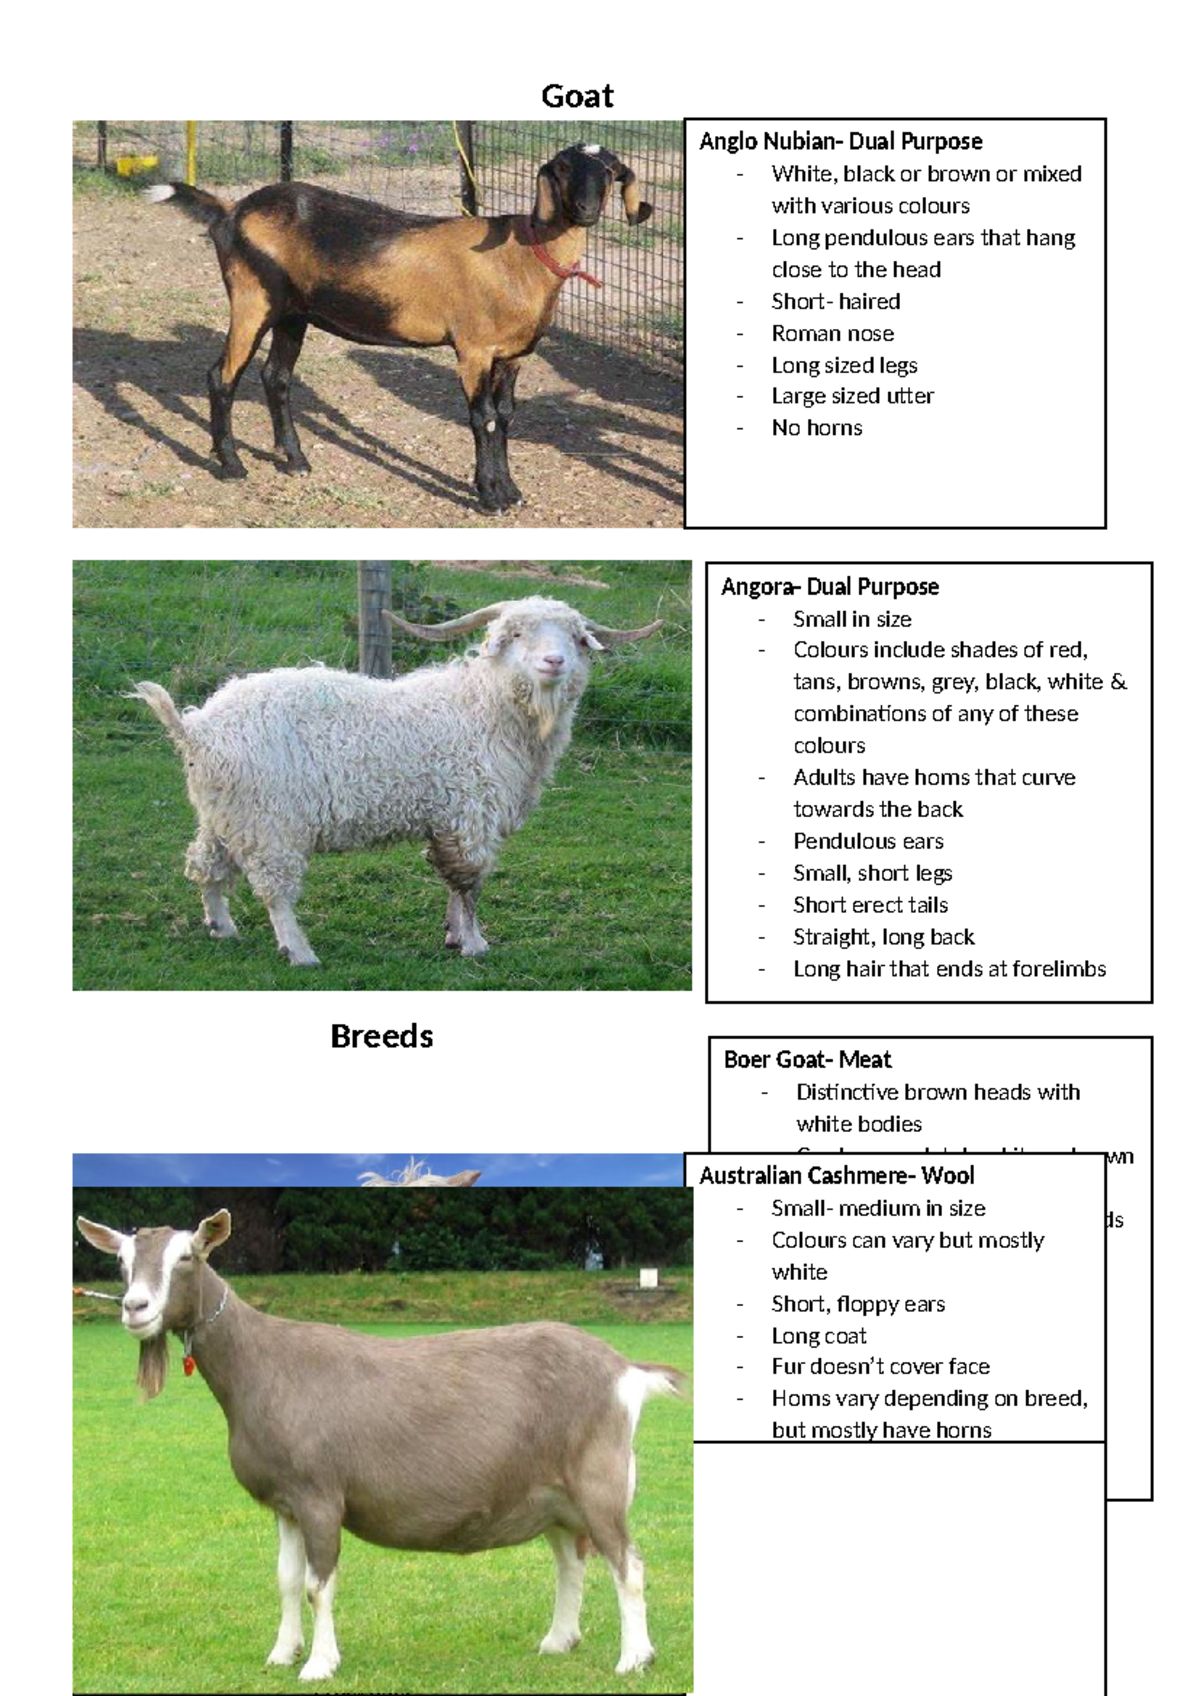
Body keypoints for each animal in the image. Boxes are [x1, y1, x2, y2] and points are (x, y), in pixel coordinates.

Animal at [76, 1210, 684, 1682]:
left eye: (187, 1256)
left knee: (627, 1563)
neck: (263, 1366)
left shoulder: (320, 1495)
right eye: (121, 1262)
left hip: (598, 1482)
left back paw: (634, 1658)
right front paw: (282, 1654)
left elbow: (319, 1584)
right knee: (570, 1560)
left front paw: (319, 1664)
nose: (134, 1307)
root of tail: (624, 1371)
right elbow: (287, 1581)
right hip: (552, 1497)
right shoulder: (285, 1503)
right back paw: (559, 1640)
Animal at [132, 595, 661, 966]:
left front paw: (452, 935)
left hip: (226, 814)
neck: (484, 708)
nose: (554, 662)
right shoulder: (471, 811)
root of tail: (198, 730)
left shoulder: (447, 818)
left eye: (575, 637)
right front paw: (474, 943)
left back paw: (221, 927)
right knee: (274, 889)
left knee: (207, 867)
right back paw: (299, 952)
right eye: (514, 633)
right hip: (272, 822)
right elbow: (469, 883)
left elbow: (452, 882)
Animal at [145, 142, 653, 513]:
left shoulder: (512, 355)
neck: (522, 254)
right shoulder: (473, 349)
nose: (585, 209)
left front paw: (510, 491)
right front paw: (489, 497)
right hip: (253, 298)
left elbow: (506, 417)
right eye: (563, 168)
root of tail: (230, 210)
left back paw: (295, 460)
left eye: (610, 170)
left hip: (293, 312)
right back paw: (231, 465)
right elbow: (483, 419)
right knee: (222, 376)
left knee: (277, 378)